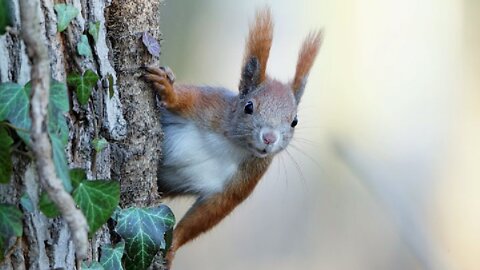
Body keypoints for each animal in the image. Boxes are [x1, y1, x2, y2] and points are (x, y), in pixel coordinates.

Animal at [142, 6, 322, 268]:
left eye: (294, 122)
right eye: (248, 107)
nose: (269, 138)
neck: (231, 144)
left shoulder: (245, 179)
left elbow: (209, 213)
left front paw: (173, 246)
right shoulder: (208, 104)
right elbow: (183, 99)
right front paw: (169, 90)